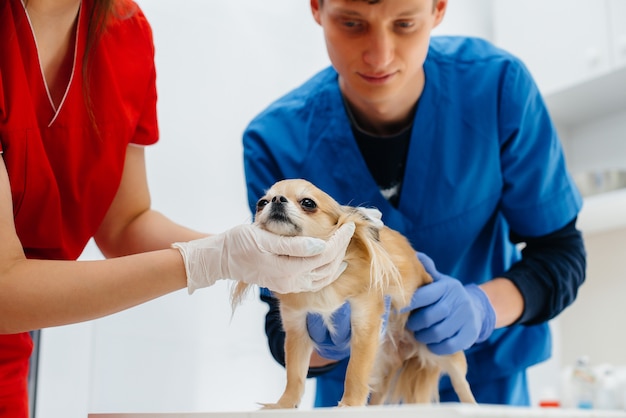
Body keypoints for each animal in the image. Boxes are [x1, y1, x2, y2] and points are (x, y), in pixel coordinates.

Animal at [232, 179, 476, 408]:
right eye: (261, 203)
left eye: (308, 203)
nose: (276, 200)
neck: (322, 285)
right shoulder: (297, 330)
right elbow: (295, 376)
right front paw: (283, 404)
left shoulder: (365, 326)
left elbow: (355, 373)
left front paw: (350, 404)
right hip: (383, 359)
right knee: (379, 392)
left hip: (442, 349)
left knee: (461, 383)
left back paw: (473, 405)